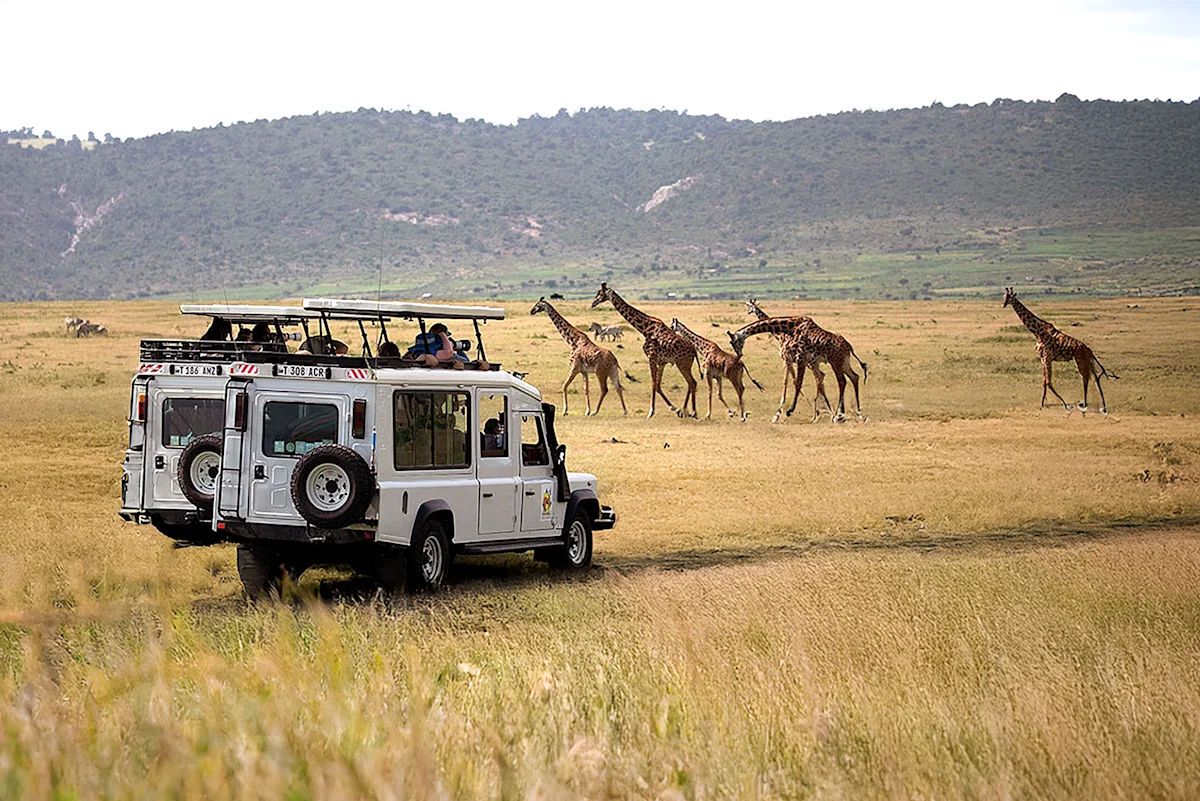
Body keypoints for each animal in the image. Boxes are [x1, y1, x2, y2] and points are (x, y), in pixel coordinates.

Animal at [591, 283, 698, 419]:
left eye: (600, 293)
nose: (593, 303)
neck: (645, 328)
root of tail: (694, 350)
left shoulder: (651, 357)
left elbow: (653, 384)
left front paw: (651, 412)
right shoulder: (661, 361)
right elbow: (657, 385)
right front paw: (674, 408)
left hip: (682, 363)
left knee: (692, 383)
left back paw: (693, 412)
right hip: (685, 364)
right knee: (691, 383)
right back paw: (686, 411)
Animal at [728, 316, 868, 422]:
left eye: (733, 343)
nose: (738, 355)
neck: (789, 328)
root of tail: (849, 346)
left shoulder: (800, 358)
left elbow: (798, 383)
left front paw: (789, 410)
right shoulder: (791, 360)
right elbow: (787, 383)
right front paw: (778, 414)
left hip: (835, 362)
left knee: (842, 381)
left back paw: (839, 414)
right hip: (844, 362)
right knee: (854, 377)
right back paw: (856, 413)